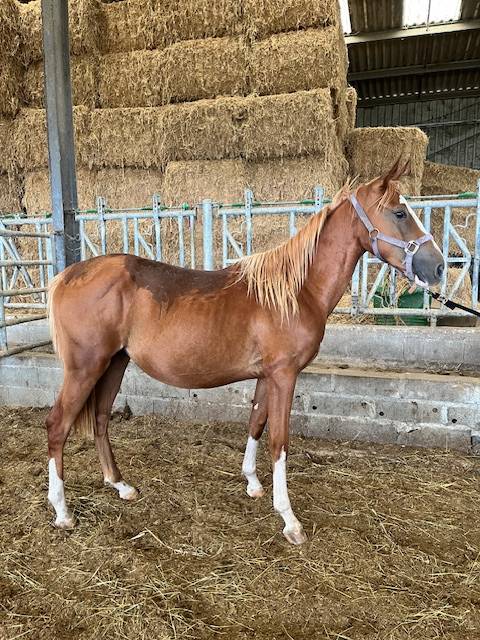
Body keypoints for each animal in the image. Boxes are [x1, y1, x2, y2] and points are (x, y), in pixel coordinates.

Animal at [45, 159, 444, 544]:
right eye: (399, 213)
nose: (439, 266)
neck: (294, 292)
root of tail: (65, 277)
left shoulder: (267, 376)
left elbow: (255, 423)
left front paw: (252, 482)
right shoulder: (284, 376)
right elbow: (279, 441)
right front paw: (289, 520)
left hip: (114, 363)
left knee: (99, 418)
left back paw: (120, 485)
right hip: (85, 367)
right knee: (57, 425)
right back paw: (63, 512)